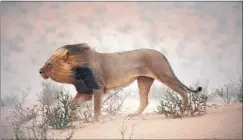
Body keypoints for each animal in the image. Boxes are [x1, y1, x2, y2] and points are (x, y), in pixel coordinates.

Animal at [39, 43, 202, 121]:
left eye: (49, 64)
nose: (39, 71)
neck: (74, 72)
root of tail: (161, 54)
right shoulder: (86, 92)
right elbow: (71, 105)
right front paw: (72, 119)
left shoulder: (97, 88)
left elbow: (96, 108)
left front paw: (94, 121)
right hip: (144, 80)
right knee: (144, 101)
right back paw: (133, 116)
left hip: (164, 74)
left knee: (183, 91)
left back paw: (183, 110)